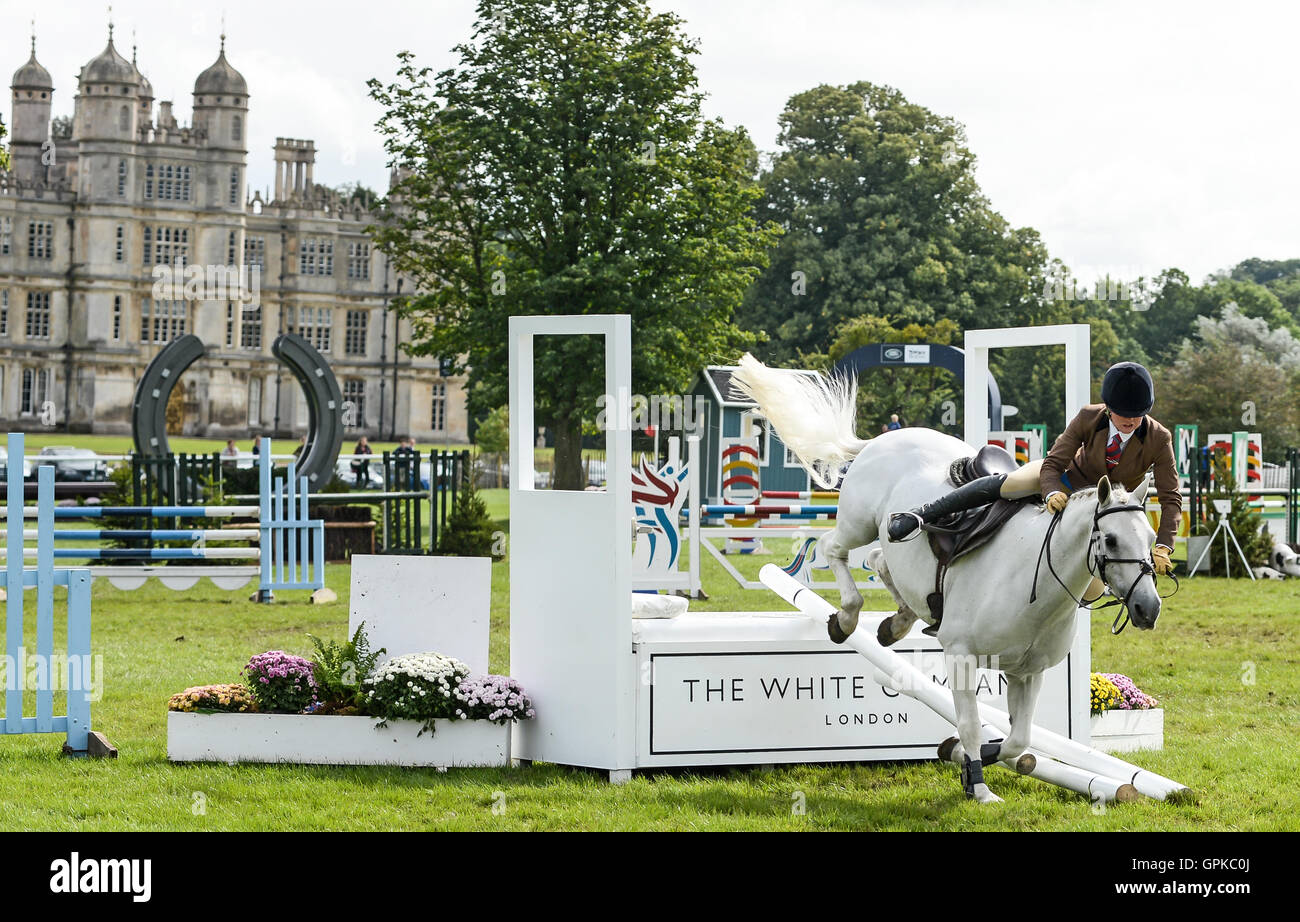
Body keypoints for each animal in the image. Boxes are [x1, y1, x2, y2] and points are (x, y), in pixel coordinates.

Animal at [733, 356, 1170, 801]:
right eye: (1111, 540)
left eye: (1152, 540)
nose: (1148, 608)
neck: (1037, 587)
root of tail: (881, 439)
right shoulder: (961, 656)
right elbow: (972, 725)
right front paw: (977, 784)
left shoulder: (1027, 671)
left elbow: (1019, 740)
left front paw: (966, 757)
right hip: (858, 523)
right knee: (834, 549)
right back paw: (847, 618)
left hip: (894, 550)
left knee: (879, 561)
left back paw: (898, 623)